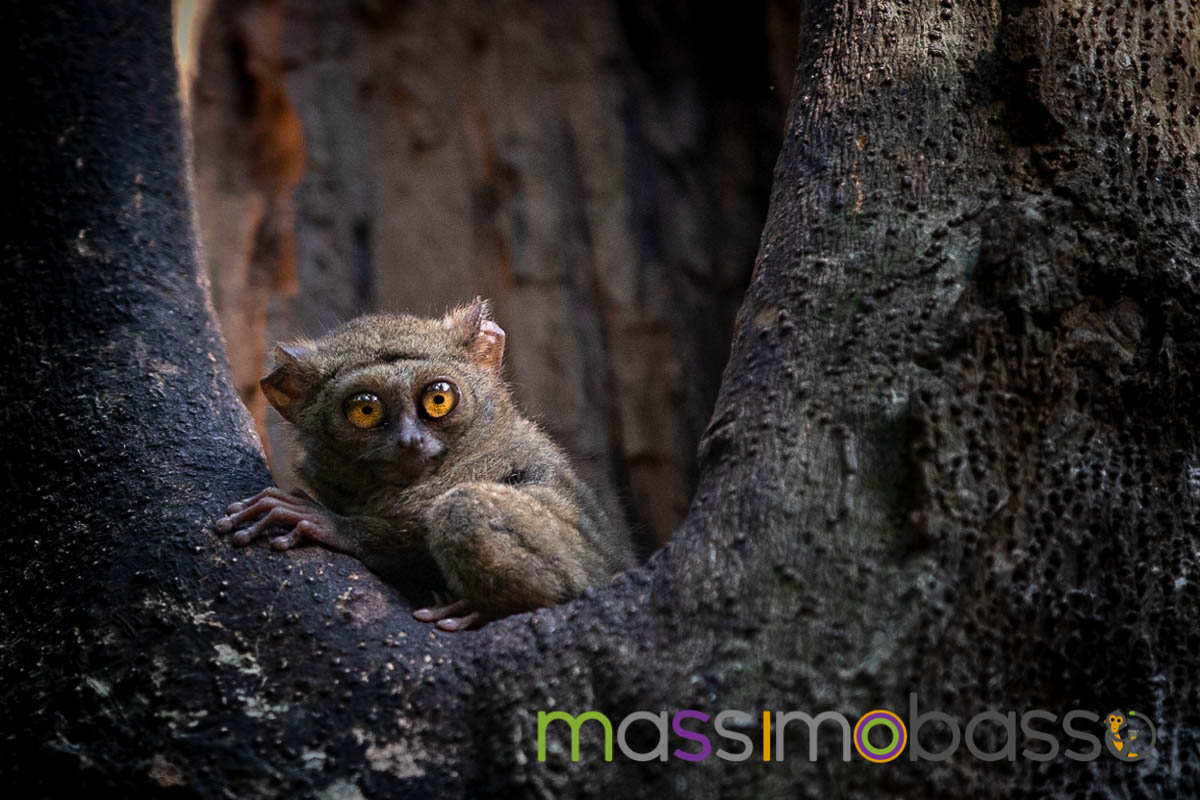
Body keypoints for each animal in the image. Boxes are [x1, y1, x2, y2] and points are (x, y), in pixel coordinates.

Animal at [216, 299, 635, 631]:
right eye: (365, 410)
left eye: (438, 399)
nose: (410, 441)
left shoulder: (491, 459)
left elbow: (416, 526)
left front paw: (326, 522)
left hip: (585, 572)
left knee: (462, 507)